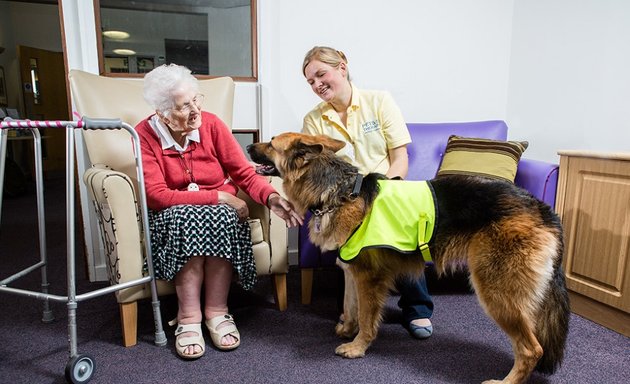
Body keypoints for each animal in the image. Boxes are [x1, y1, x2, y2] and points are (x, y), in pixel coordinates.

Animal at [248, 133, 572, 384]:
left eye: (272, 142)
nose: (248, 146)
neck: (337, 192)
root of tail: (541, 208)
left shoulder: (368, 279)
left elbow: (366, 316)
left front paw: (357, 347)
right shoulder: (352, 271)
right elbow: (349, 306)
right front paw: (347, 330)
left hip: (495, 291)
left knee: (532, 349)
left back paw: (506, 381)